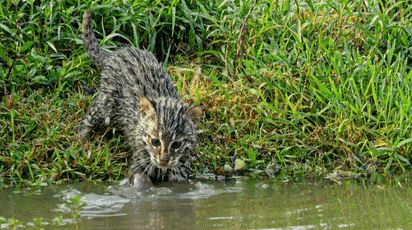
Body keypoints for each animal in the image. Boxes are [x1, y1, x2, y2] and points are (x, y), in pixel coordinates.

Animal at [78, 10, 201, 186]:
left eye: (177, 144)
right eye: (155, 141)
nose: (164, 160)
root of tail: (116, 53)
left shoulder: (181, 169)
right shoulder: (139, 161)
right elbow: (139, 178)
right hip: (106, 103)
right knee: (90, 118)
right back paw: (82, 139)